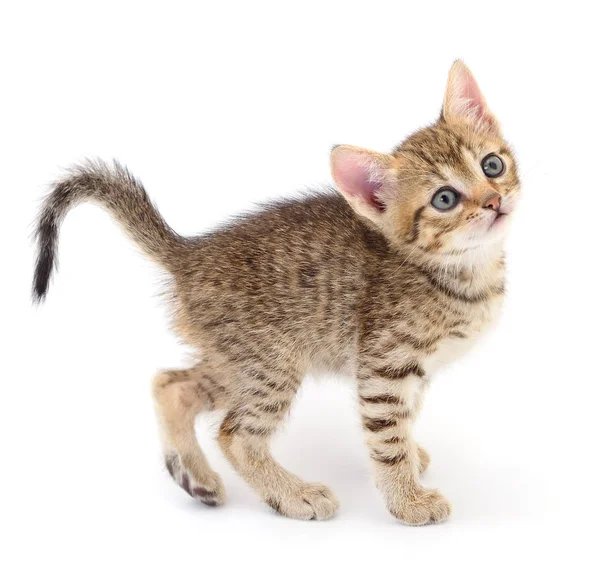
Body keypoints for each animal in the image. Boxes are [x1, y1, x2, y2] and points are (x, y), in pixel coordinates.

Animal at [34, 60, 520, 524]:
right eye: (444, 199)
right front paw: (408, 501)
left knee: (171, 383)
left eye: (491, 165)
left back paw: (195, 476)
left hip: (236, 362)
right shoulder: (384, 366)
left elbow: (406, 420)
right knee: (234, 434)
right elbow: (387, 437)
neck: (465, 272)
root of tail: (190, 253)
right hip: (272, 363)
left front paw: (411, 465)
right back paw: (292, 494)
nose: (493, 200)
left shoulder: (414, 372)